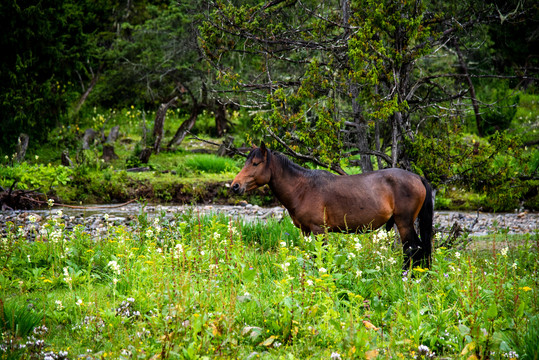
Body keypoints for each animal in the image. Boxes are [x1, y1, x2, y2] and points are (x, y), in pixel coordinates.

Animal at [232, 143, 434, 268]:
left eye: (255, 163)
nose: (235, 186)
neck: (302, 188)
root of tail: (417, 177)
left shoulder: (319, 230)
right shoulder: (306, 231)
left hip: (404, 223)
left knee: (413, 250)